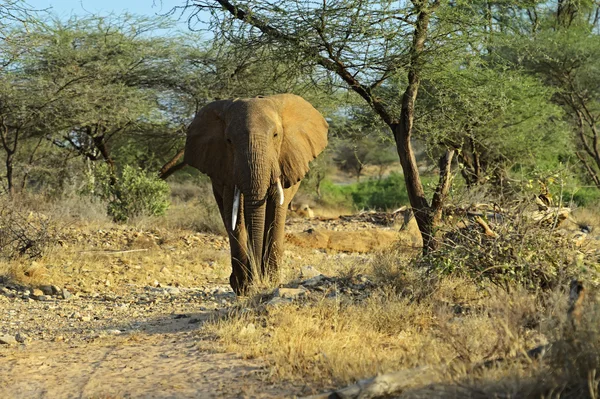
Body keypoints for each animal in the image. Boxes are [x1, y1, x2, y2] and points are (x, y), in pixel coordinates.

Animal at [186, 93, 330, 294]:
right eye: (229, 141)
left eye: (276, 135)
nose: (258, 280)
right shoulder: (227, 168)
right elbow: (235, 213)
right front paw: (245, 287)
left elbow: (276, 210)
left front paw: (271, 281)